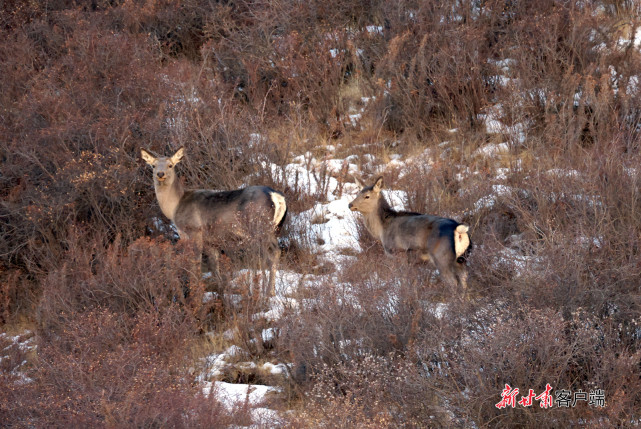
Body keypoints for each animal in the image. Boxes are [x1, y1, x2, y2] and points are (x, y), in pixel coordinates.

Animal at [143, 147, 290, 294]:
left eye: (170, 165)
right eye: (153, 165)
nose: (160, 173)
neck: (175, 207)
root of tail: (276, 196)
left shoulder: (194, 229)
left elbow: (195, 262)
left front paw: (195, 291)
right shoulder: (211, 240)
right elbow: (214, 266)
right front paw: (221, 289)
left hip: (259, 226)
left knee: (273, 254)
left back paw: (268, 292)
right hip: (275, 228)